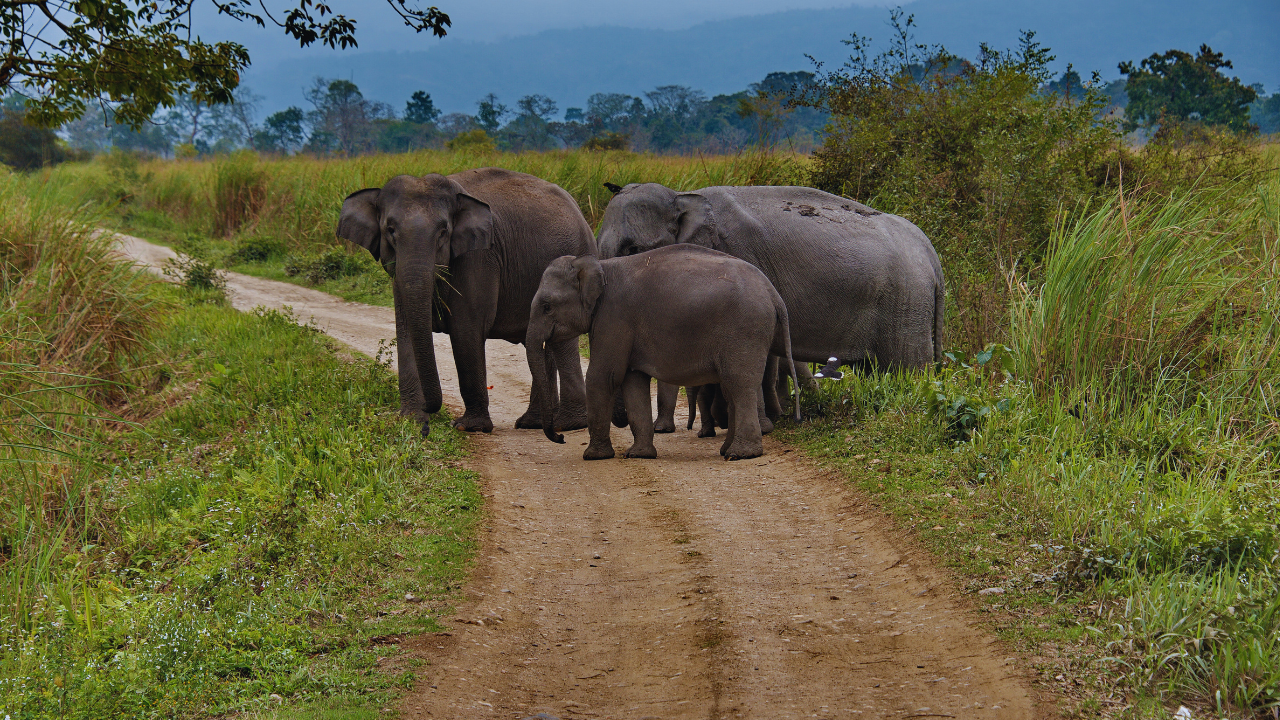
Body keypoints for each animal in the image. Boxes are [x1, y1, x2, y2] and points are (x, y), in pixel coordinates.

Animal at [337, 168, 595, 436]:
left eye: (443, 231)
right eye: (390, 230)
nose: (431, 414)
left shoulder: (479, 257)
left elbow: (465, 330)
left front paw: (468, 427)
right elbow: (406, 329)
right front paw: (410, 420)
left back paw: (565, 423)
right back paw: (532, 423)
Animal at [526, 245, 799, 461]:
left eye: (547, 307)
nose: (560, 437)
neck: (598, 265)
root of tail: (774, 294)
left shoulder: (614, 317)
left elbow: (603, 377)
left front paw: (593, 456)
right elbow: (632, 381)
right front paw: (638, 455)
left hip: (745, 330)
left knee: (739, 384)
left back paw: (740, 455)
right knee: (732, 386)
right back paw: (726, 450)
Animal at [596, 184, 945, 387]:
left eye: (632, 249)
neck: (682, 195)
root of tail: (930, 252)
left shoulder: (737, 253)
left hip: (906, 302)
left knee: (906, 369)